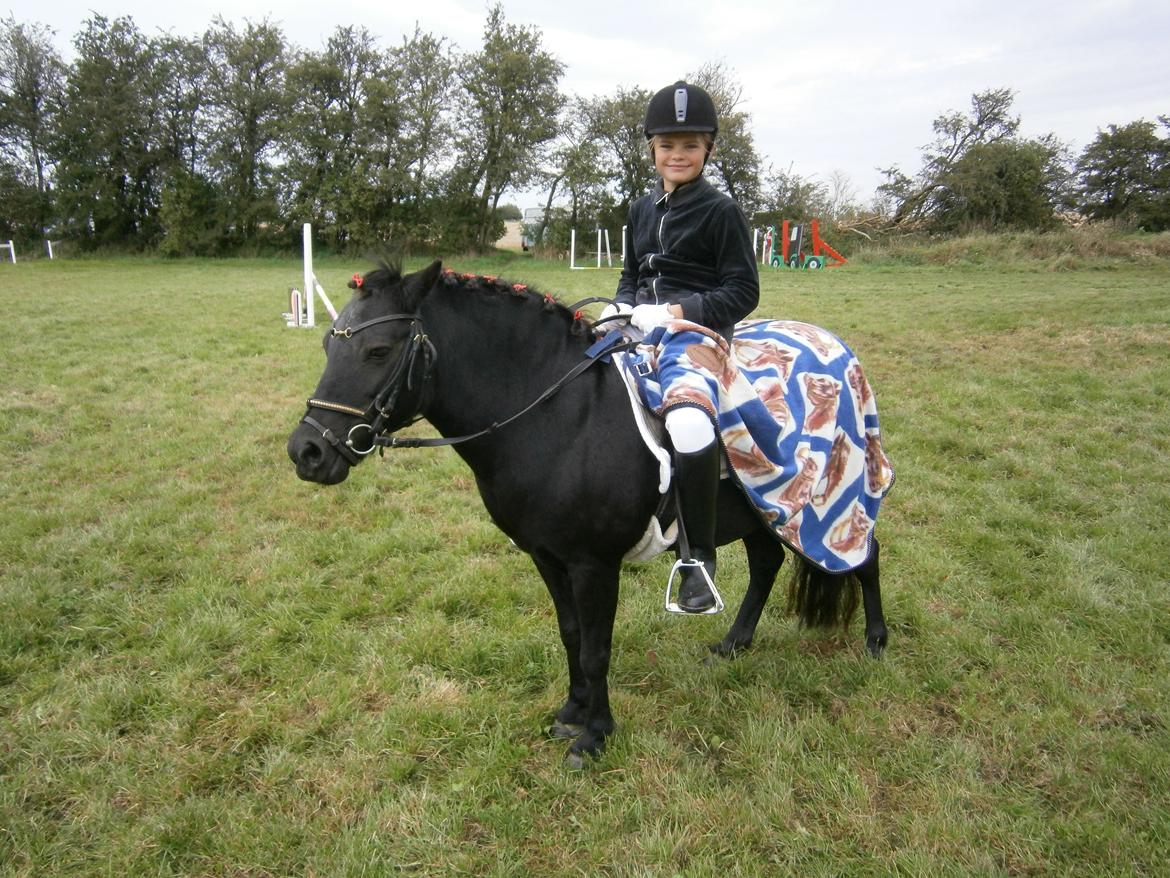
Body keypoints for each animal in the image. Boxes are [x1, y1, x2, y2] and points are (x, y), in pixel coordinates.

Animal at [290, 261, 884, 767]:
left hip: (831, 496)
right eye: (326, 344)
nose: (307, 452)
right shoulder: (547, 557)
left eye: (378, 350)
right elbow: (571, 634)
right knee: (765, 564)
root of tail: (833, 343)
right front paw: (572, 711)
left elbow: (598, 647)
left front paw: (595, 736)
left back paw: (876, 642)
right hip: (759, 510)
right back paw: (733, 644)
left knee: (864, 553)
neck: (557, 414)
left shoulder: (594, 565)